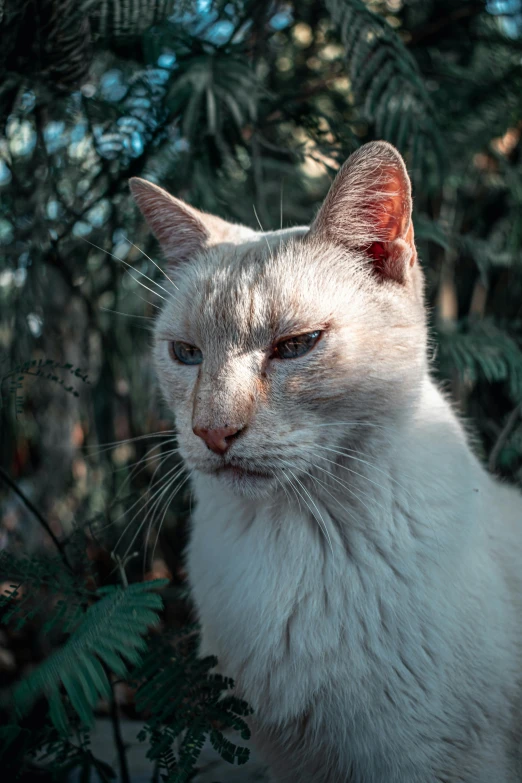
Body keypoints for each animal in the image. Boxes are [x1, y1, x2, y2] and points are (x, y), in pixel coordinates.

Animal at [129, 142, 520, 783]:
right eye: (185, 354)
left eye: (295, 346)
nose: (212, 431)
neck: (297, 538)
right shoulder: (295, 762)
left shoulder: (426, 763)